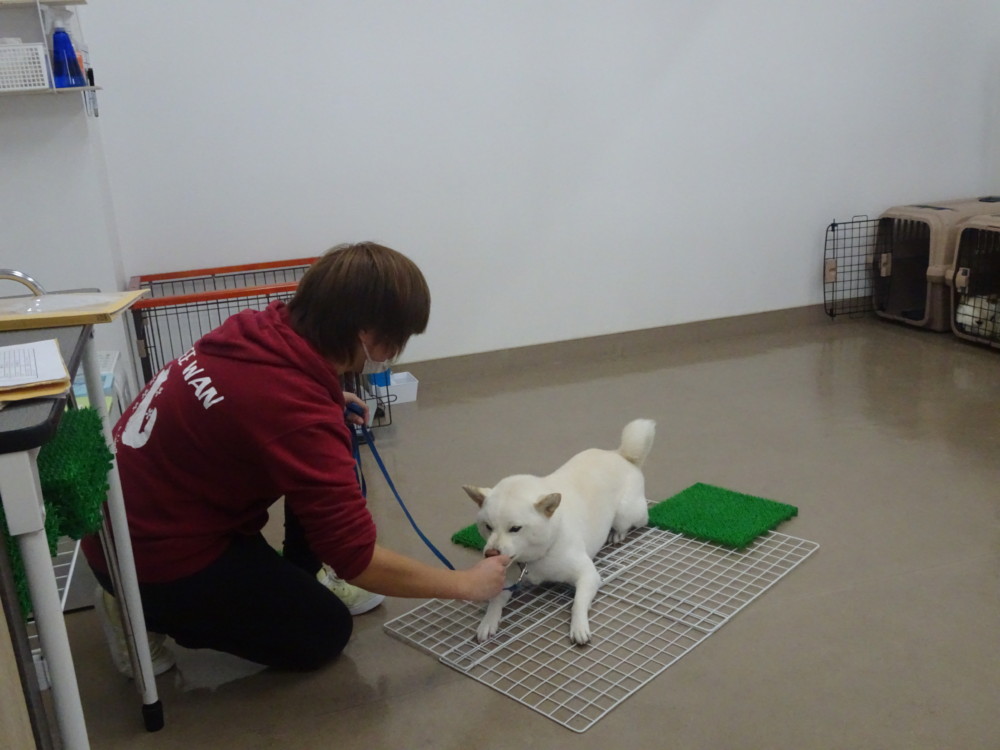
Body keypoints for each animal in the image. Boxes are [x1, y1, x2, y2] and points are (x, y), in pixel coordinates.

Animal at [463, 418, 655, 645]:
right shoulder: (507, 578)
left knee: (632, 522)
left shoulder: (588, 574)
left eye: (515, 529)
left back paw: (616, 533)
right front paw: (488, 621)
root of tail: (620, 454)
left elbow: (578, 603)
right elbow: (495, 600)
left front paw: (579, 626)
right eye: (488, 527)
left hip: (626, 512)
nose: (490, 554)